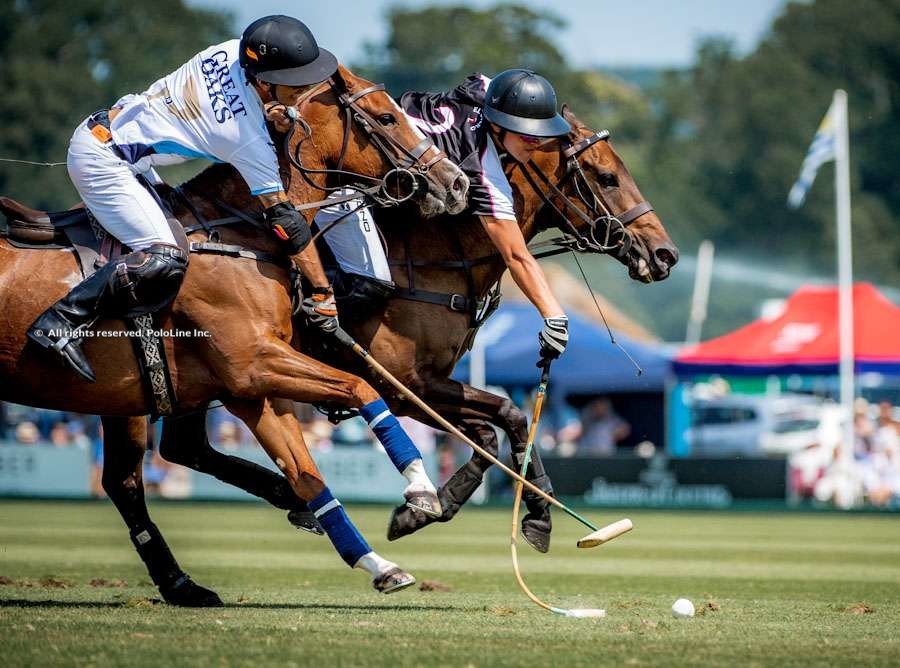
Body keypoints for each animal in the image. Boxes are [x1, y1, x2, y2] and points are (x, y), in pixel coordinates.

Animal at [0, 64, 468, 604]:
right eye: (387, 117)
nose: (455, 183)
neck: (240, 237)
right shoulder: (253, 364)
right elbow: (361, 387)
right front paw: (419, 488)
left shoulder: (253, 387)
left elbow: (308, 476)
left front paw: (380, 563)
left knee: (126, 480)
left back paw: (183, 584)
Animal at [155, 105, 680, 552]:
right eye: (607, 176)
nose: (665, 254)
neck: (443, 251)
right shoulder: (403, 385)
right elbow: (499, 423)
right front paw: (531, 513)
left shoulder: (428, 384)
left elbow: (499, 422)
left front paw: (439, 509)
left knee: (184, 446)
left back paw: (296, 502)